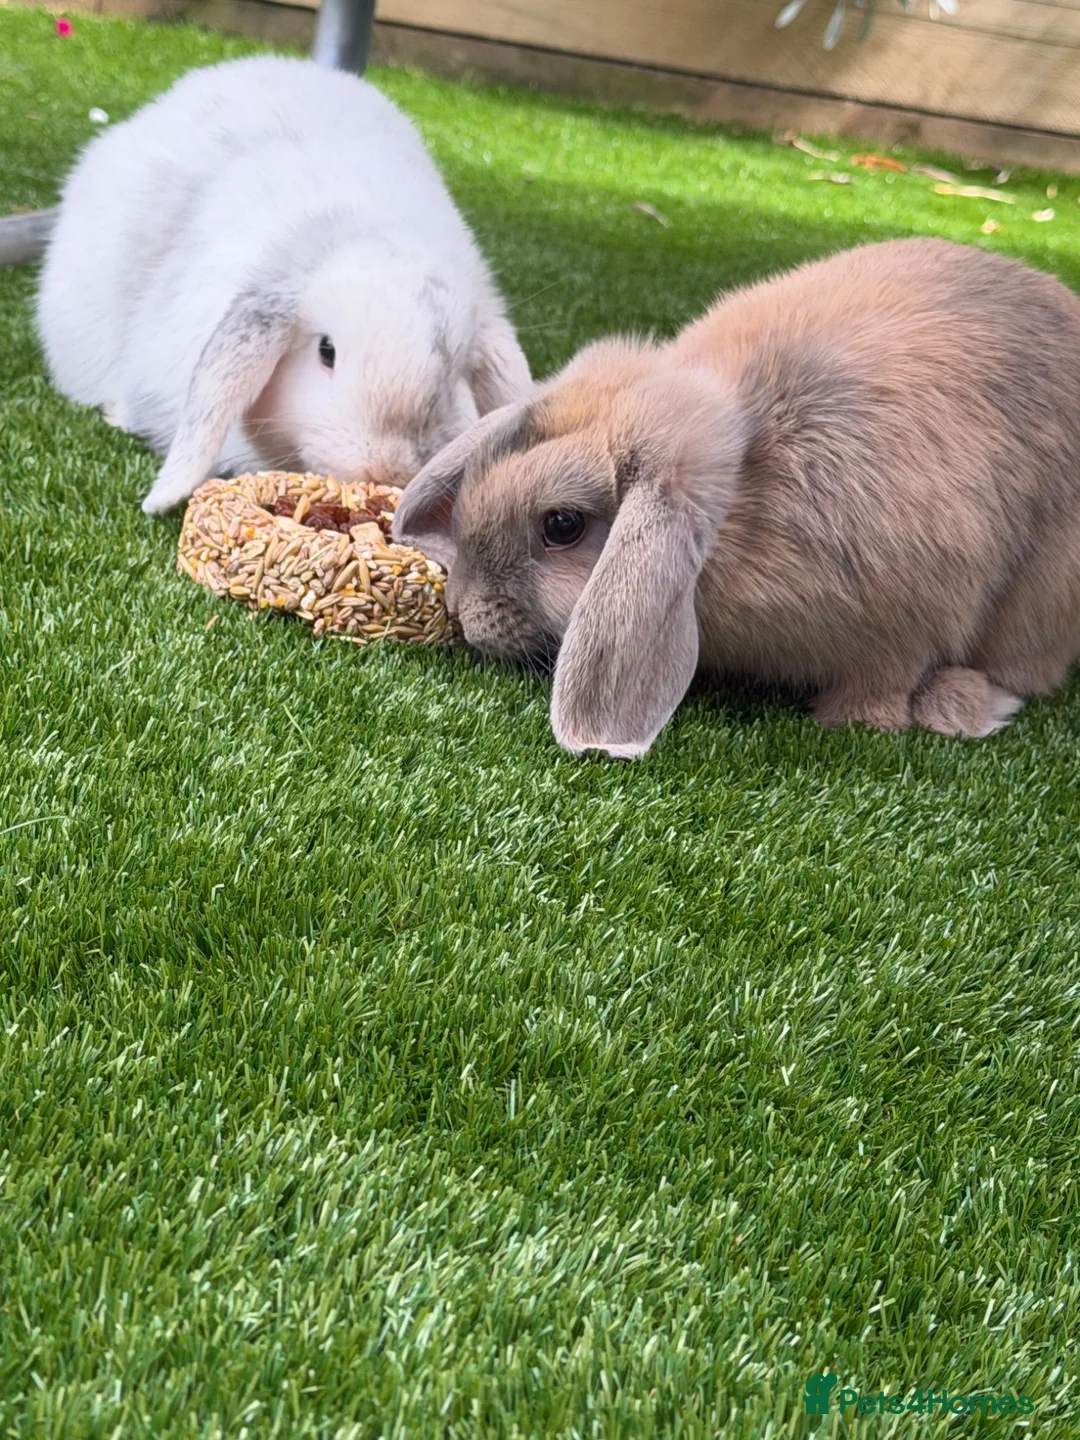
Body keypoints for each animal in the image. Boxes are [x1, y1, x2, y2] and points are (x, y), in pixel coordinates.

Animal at [392, 236, 1080, 757]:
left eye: (561, 525)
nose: (462, 610)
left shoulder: (909, 624)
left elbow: (878, 695)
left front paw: (866, 719)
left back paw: (961, 705)